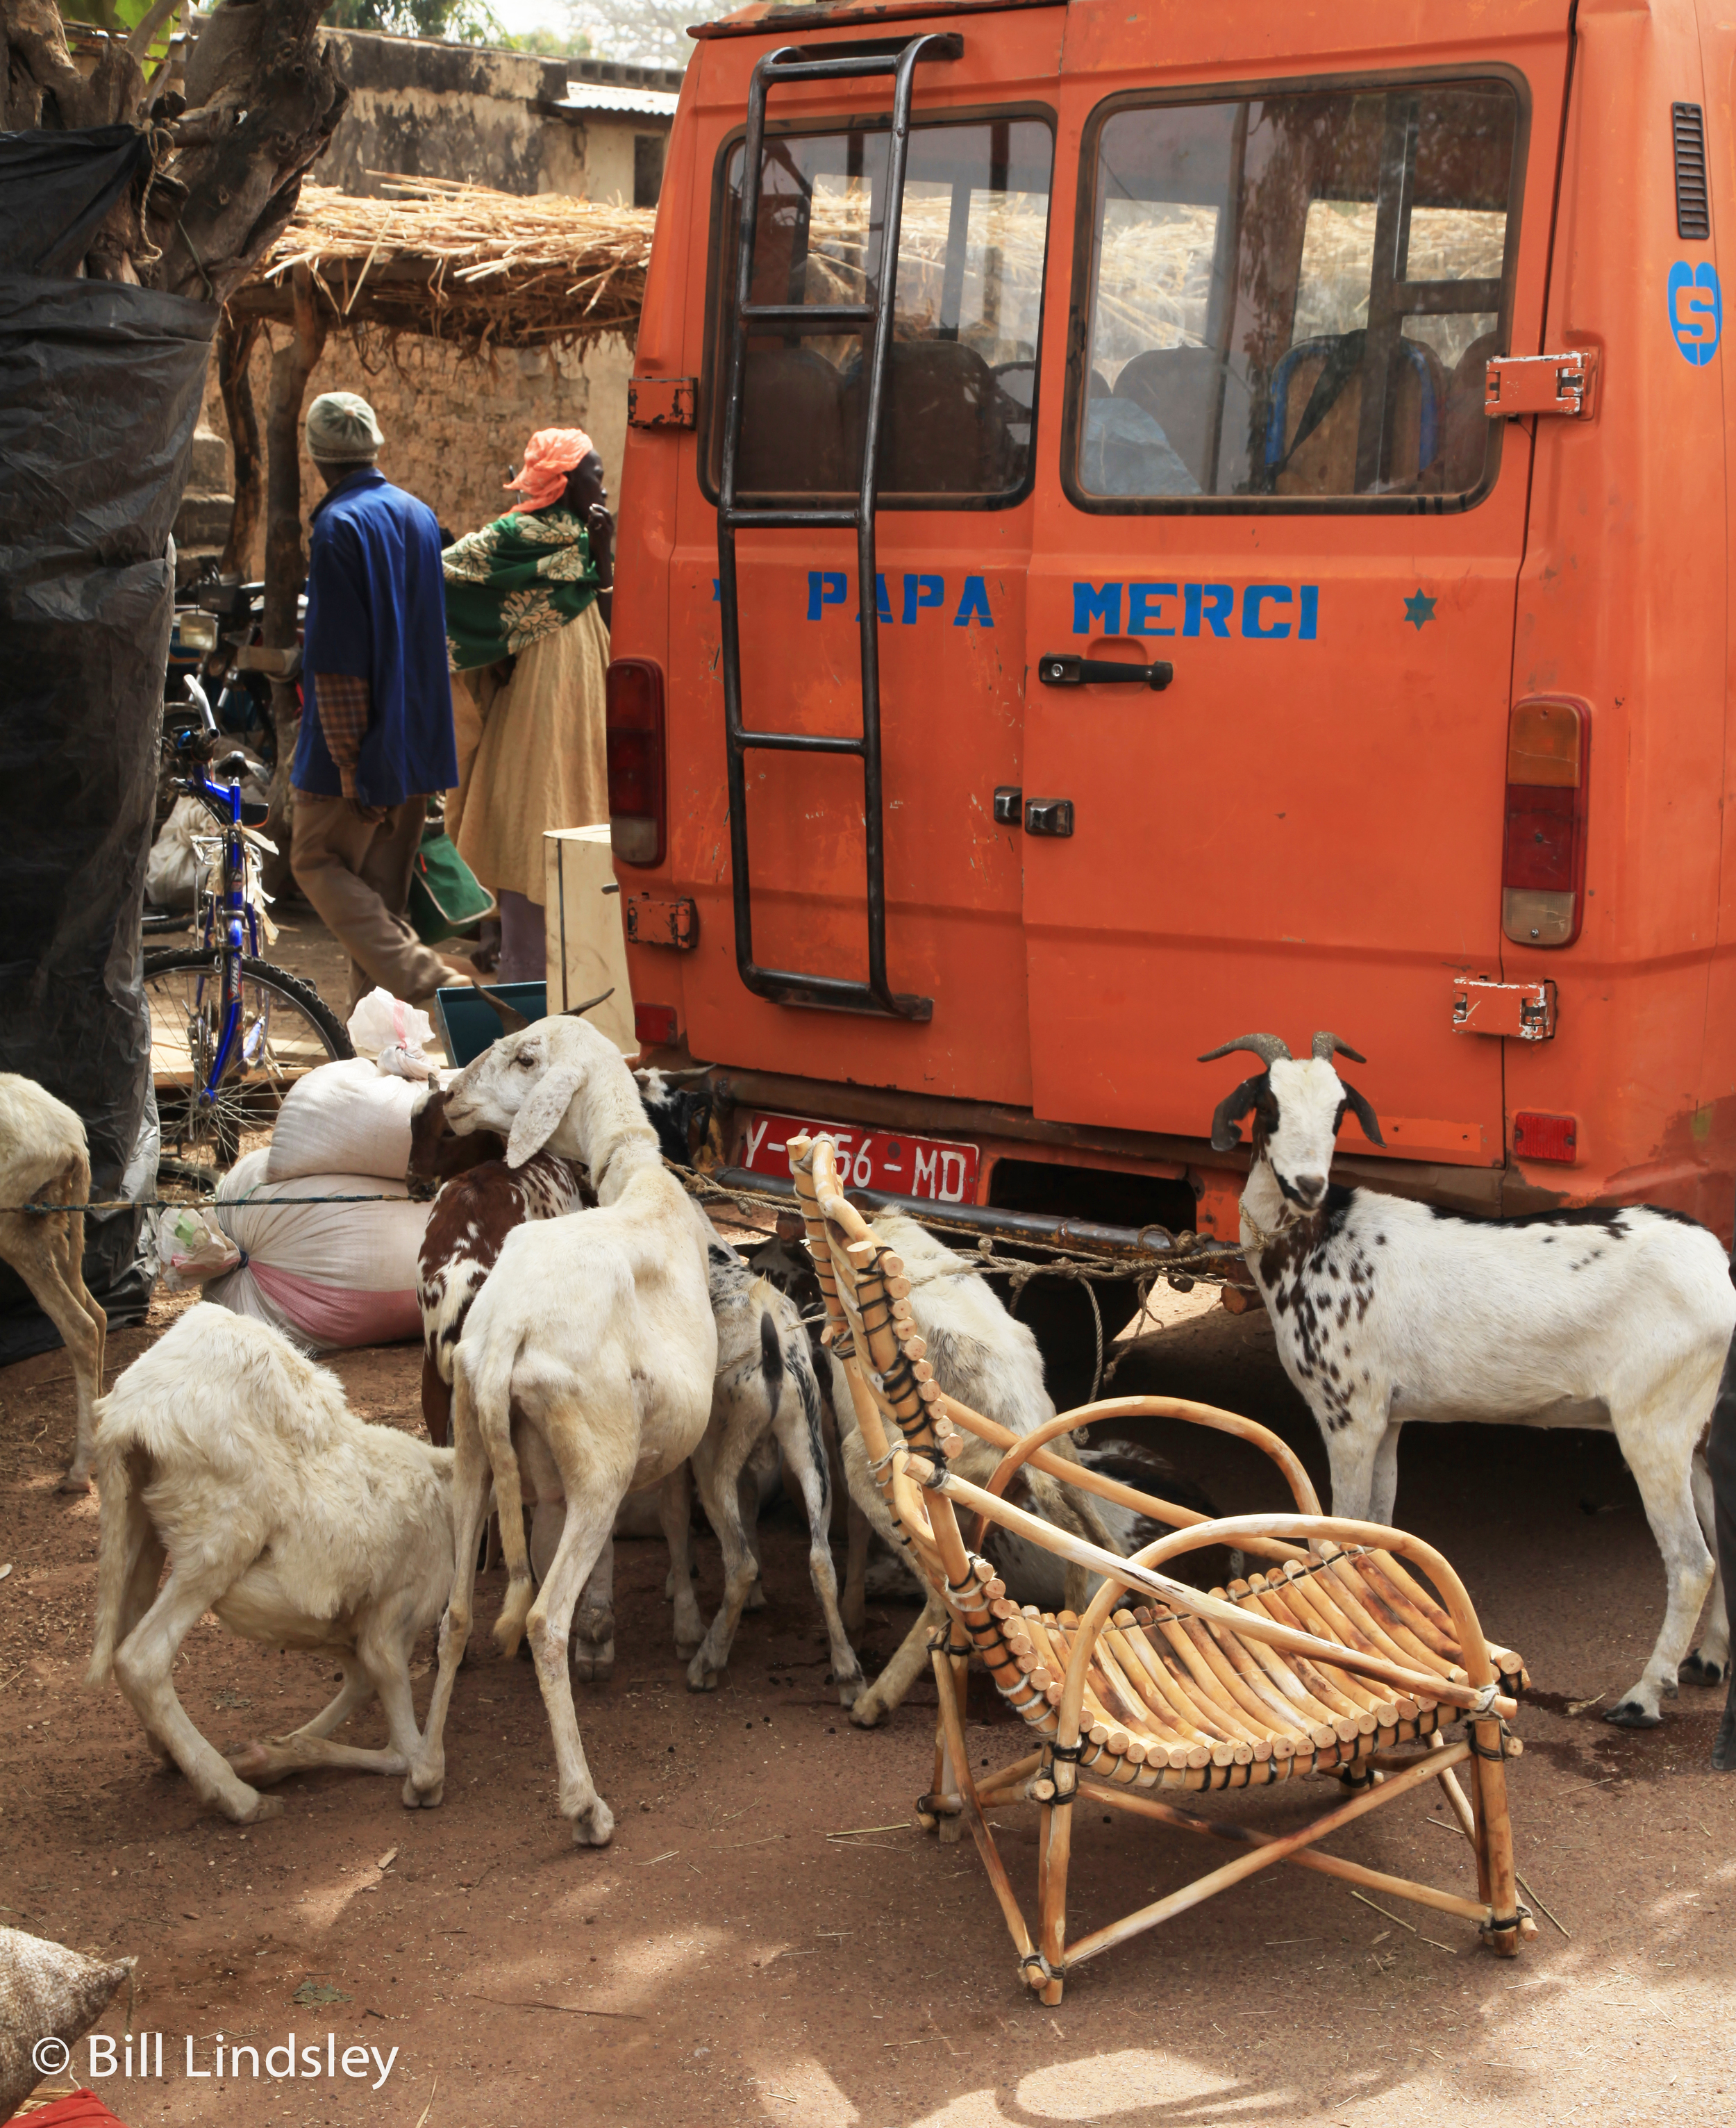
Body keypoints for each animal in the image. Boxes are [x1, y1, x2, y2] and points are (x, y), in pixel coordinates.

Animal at [0, 1072, 106, 1489]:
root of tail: (72, 1137)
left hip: (14, 1226)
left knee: (81, 1327)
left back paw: (79, 1471)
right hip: (54, 1218)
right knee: (99, 1312)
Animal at [87, 1302, 455, 1821]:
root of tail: (127, 1417)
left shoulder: (350, 1629)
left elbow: (357, 1684)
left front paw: (276, 1750)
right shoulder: (392, 1619)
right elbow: (402, 1749)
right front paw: (268, 1760)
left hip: (143, 1517)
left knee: (125, 1624)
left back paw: (171, 1753)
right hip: (223, 1533)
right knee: (141, 1657)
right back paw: (235, 1796)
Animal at [408, 1013, 719, 1847]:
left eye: (525, 1057)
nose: (451, 1097)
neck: (638, 1181)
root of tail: (506, 1333)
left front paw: (606, 1633)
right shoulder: (673, 1437)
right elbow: (675, 1516)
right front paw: (683, 1620)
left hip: (472, 1449)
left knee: (457, 1613)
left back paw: (426, 1775)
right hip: (598, 1462)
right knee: (544, 1617)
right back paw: (585, 1805)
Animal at [1208, 1025, 1736, 1727]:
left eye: (1339, 1112)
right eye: (1267, 1108)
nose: (1309, 1184)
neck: (1320, 1240)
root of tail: (1720, 1269)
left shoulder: (1348, 1411)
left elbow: (1343, 1536)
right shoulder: (1388, 1416)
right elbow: (1379, 1532)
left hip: (1655, 1423)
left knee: (1691, 1561)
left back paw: (1645, 1695)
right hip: (1699, 1426)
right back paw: (1710, 1660)